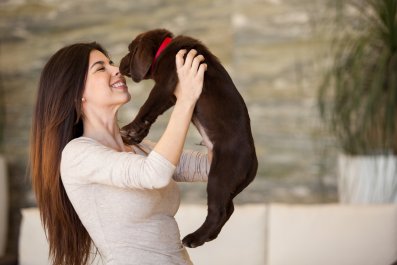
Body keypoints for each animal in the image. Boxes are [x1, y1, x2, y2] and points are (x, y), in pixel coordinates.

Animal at [119, 28, 258, 248]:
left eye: (130, 50)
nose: (118, 63)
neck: (165, 48)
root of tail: (254, 163)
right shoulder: (172, 95)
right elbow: (152, 113)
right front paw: (136, 135)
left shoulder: (165, 85)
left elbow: (147, 107)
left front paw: (130, 130)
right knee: (229, 208)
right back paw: (208, 236)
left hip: (219, 177)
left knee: (219, 211)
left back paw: (195, 238)